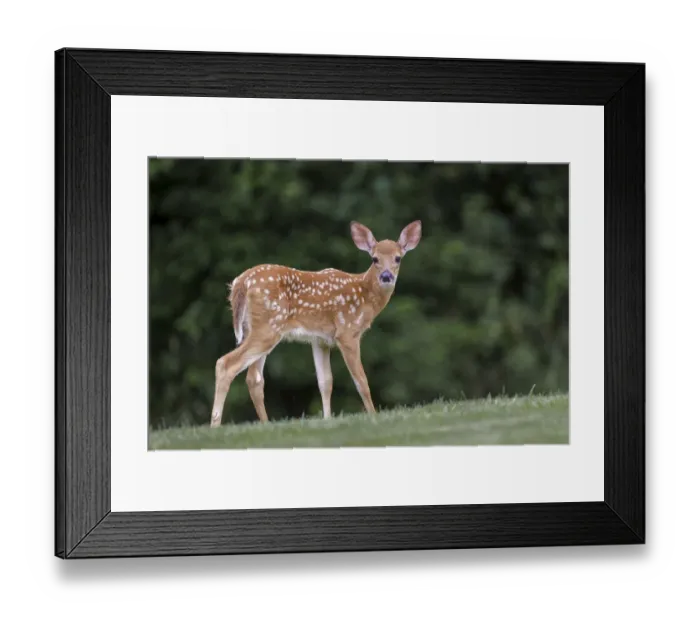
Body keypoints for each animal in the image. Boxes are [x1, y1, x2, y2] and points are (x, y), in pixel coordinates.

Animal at [210, 220, 422, 428]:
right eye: (375, 259)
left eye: (398, 258)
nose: (386, 276)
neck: (364, 295)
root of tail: (240, 283)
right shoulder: (347, 332)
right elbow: (361, 380)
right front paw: (373, 416)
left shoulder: (319, 339)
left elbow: (325, 381)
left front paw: (327, 420)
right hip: (268, 326)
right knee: (225, 363)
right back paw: (215, 425)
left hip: (253, 328)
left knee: (254, 378)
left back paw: (265, 424)